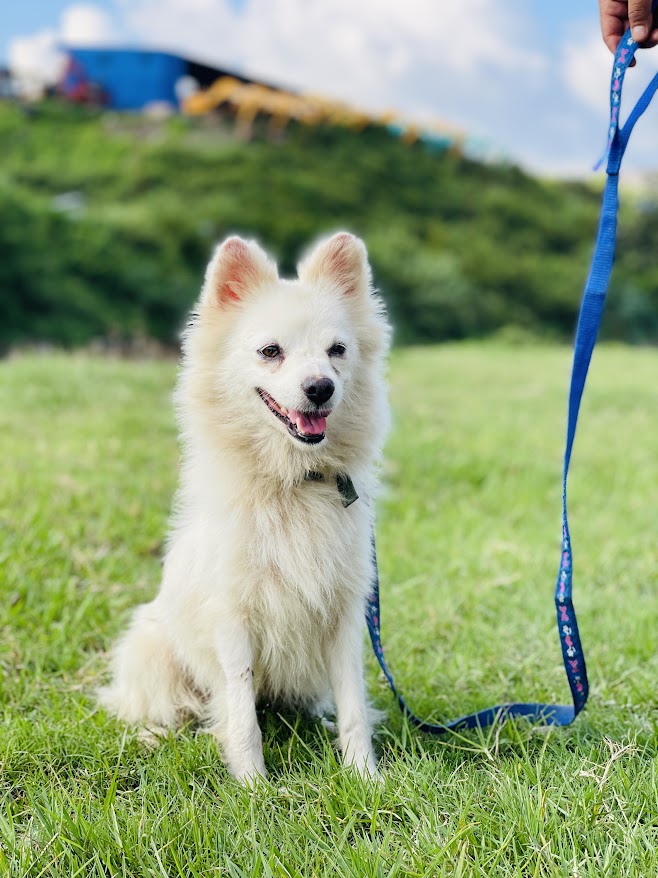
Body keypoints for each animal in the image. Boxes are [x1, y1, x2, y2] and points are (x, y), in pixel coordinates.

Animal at [99, 232, 390, 782]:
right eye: (270, 351)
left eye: (337, 350)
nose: (321, 388)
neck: (293, 483)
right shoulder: (234, 617)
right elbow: (240, 712)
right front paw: (254, 785)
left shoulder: (343, 613)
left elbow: (354, 706)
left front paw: (365, 777)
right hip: (152, 650)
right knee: (158, 707)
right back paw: (153, 736)